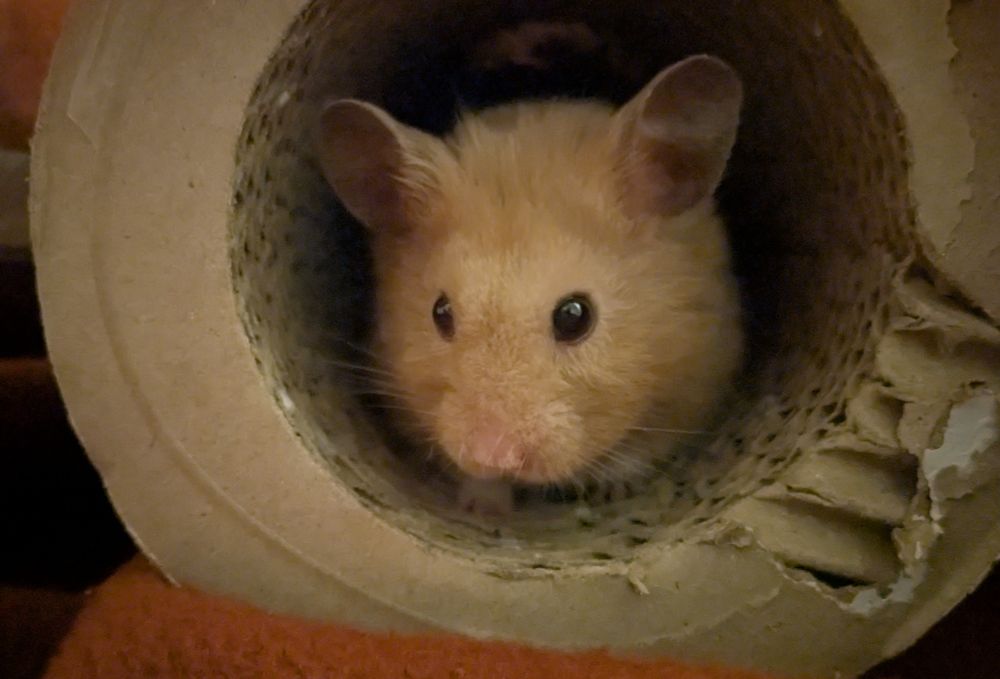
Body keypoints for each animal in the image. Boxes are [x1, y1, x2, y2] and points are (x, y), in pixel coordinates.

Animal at [317, 55, 744, 514]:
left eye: (576, 316)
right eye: (440, 312)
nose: (493, 454)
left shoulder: (700, 374)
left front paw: (611, 490)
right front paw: (484, 506)